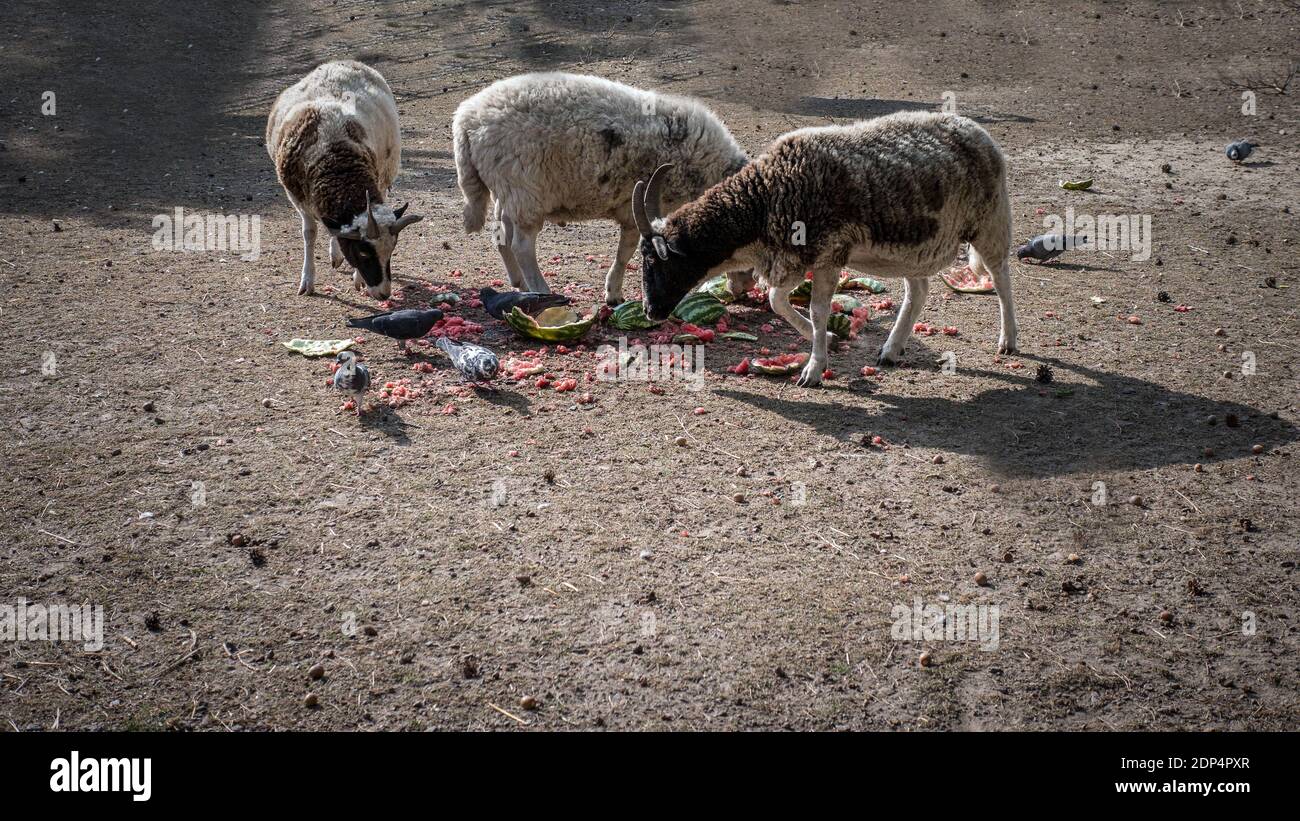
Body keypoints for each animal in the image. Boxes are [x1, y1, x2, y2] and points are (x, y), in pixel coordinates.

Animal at [266, 60, 422, 299]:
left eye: (392, 251)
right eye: (363, 253)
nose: (384, 294)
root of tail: (341, 63)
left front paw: (358, 278)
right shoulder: (298, 198)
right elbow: (309, 233)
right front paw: (307, 280)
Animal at [452, 72, 749, 304]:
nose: (744, 289)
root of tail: (466, 120)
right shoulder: (638, 207)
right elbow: (625, 251)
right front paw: (613, 293)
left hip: (508, 189)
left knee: (501, 235)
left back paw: (520, 284)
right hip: (525, 191)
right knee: (521, 246)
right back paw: (541, 289)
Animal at [633, 111, 1017, 388]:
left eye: (654, 260)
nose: (650, 311)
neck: (763, 200)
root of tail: (978, 132)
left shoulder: (829, 256)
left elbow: (817, 309)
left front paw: (814, 370)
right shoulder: (792, 259)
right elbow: (776, 300)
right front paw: (829, 339)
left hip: (990, 220)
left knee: (1001, 276)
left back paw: (1008, 340)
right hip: (913, 250)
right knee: (918, 290)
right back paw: (891, 350)